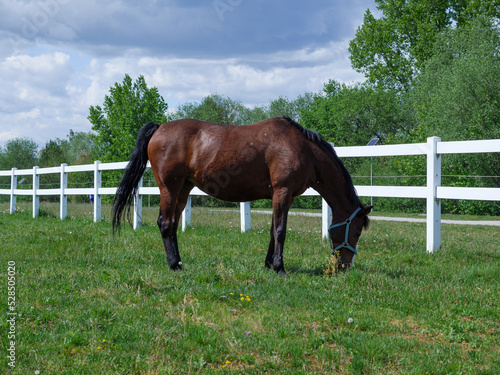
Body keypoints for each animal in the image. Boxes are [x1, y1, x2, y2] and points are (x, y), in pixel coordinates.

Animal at [113, 117, 372, 276]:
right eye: (357, 231)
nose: (345, 265)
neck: (302, 148)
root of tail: (159, 128)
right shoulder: (283, 191)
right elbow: (281, 230)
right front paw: (279, 267)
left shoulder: (279, 195)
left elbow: (273, 229)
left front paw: (269, 264)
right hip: (170, 187)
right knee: (165, 223)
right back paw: (174, 265)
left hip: (184, 188)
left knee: (174, 223)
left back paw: (178, 261)